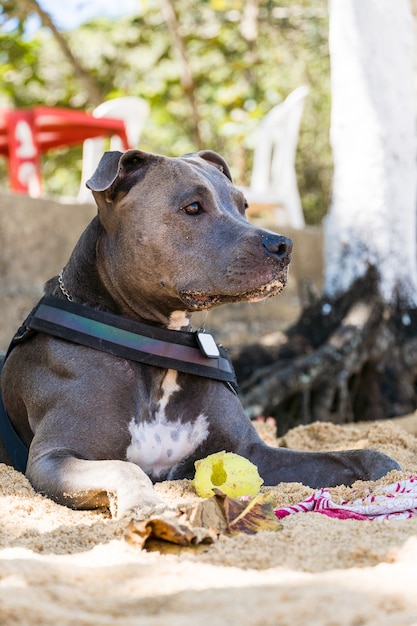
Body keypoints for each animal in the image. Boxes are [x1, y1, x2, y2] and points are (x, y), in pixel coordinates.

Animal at [0, 149, 398, 516]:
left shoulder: (252, 450)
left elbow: (355, 456)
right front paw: (146, 504)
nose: (283, 245)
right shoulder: (54, 458)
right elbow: (124, 469)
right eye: (193, 207)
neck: (155, 347)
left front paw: (388, 475)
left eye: (243, 205)